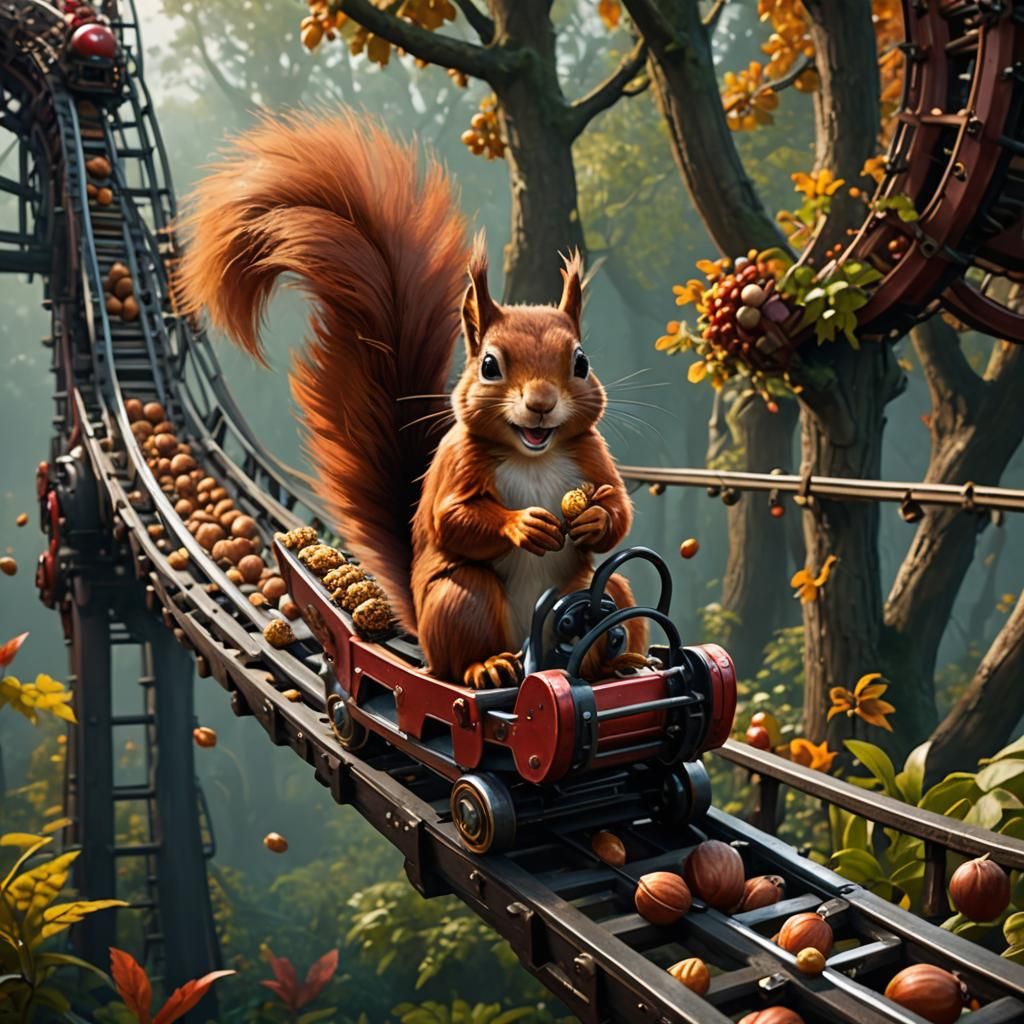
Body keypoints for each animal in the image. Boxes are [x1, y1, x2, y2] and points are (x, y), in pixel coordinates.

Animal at [176, 110, 648, 688]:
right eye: (489, 365)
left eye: (581, 363)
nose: (540, 403)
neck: (533, 455)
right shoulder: (456, 464)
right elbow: (453, 519)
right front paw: (521, 523)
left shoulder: (592, 455)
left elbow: (619, 509)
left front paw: (594, 519)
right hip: (458, 600)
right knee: (463, 637)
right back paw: (486, 667)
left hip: (600, 591)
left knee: (613, 595)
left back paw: (624, 662)